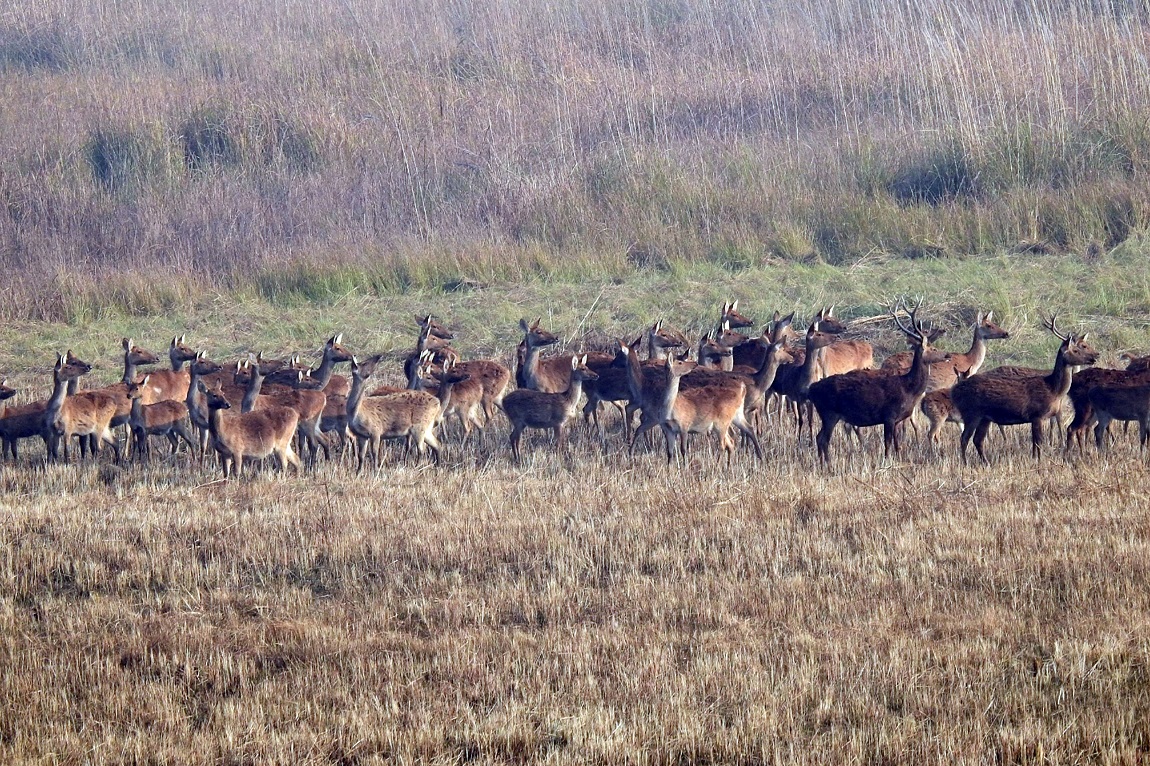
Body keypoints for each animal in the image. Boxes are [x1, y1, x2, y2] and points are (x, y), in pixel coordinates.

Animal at [805, 299, 947, 464]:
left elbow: (897, 445)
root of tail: (812, 389)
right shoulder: (889, 415)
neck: (909, 389)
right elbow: (887, 443)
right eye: (932, 348)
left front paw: (897, 460)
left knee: (819, 438)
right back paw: (828, 465)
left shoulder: (897, 419)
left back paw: (822, 463)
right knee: (823, 440)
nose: (947, 355)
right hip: (829, 413)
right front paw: (886, 462)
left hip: (827, 414)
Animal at [947, 312, 1099, 462]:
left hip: (984, 417)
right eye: (1077, 349)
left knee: (978, 440)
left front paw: (1034, 459)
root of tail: (955, 390)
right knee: (964, 438)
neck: (1053, 390)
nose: (1094, 358)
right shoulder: (1037, 414)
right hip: (971, 412)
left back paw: (986, 462)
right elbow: (1039, 442)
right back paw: (965, 462)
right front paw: (1039, 460)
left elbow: (1035, 442)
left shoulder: (1038, 417)